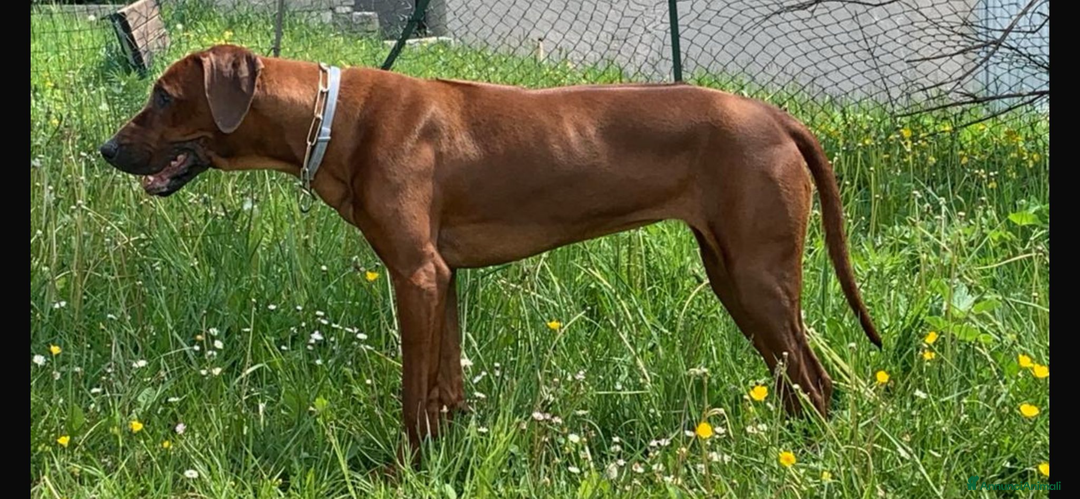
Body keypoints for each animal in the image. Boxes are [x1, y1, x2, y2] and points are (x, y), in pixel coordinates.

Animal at [100, 44, 881, 463]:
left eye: (163, 96)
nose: (107, 149)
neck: (330, 118)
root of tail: (775, 114)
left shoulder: (414, 275)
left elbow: (412, 396)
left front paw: (404, 472)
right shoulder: (442, 277)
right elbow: (445, 388)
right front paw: (447, 461)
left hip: (756, 276)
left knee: (816, 382)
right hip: (732, 273)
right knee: (796, 380)